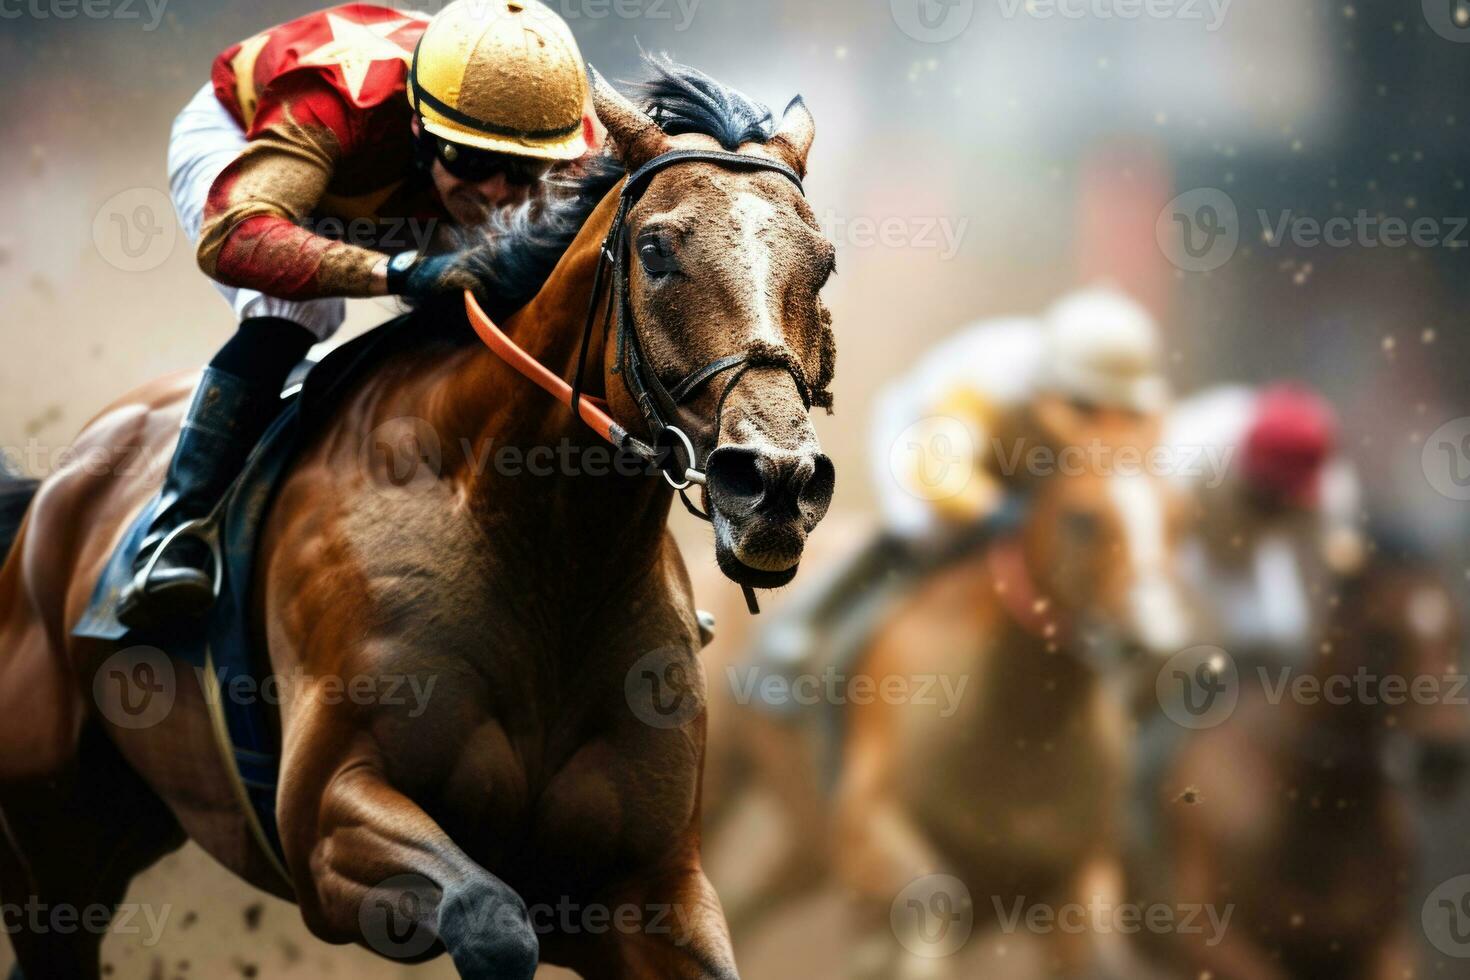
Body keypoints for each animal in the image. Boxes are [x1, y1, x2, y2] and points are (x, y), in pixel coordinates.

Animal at [0, 61, 840, 980]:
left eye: (825, 263)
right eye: (655, 251)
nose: (776, 485)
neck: (547, 554)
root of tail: (57, 488)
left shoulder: (652, 885)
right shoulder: (327, 819)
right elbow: (491, 920)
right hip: (53, 856)